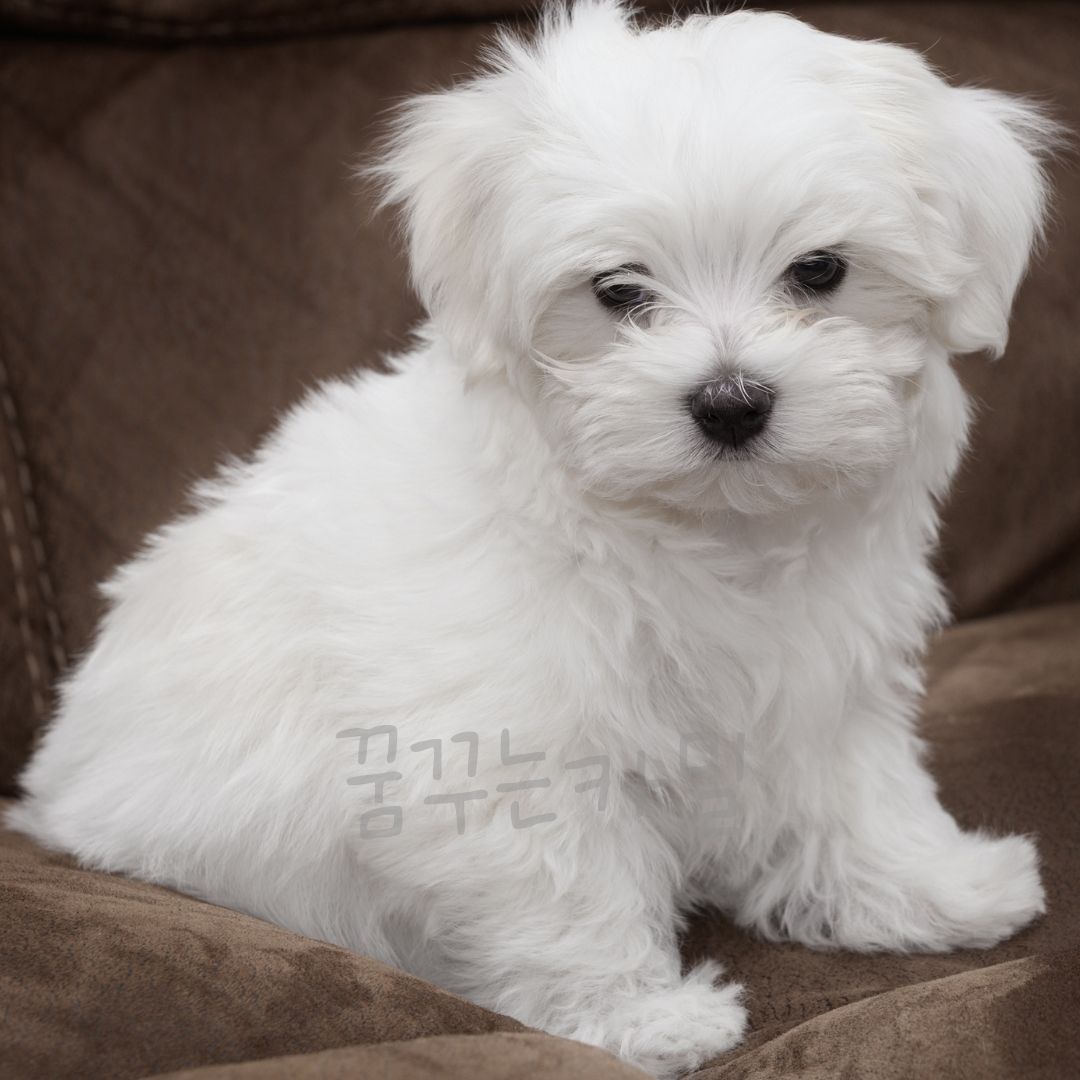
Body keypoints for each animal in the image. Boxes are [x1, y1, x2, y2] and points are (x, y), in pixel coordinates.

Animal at [10, 4, 1058, 1076]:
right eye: (618, 290)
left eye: (820, 272)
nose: (730, 402)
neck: (705, 535)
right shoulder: (503, 745)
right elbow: (568, 880)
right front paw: (637, 1017)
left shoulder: (821, 681)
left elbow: (856, 791)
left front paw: (930, 886)